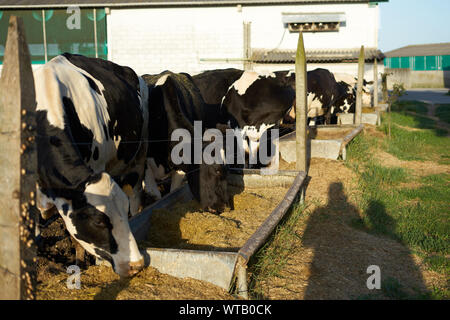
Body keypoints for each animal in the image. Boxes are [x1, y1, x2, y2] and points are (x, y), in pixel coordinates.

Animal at [36, 53, 148, 276]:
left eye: (122, 211)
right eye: (98, 221)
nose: (136, 265)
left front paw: (82, 265)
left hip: (140, 154)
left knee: (135, 193)